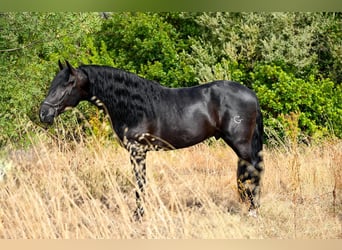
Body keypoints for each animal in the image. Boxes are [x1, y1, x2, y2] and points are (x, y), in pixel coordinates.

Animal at [40, 60, 264, 219]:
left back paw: (253, 210)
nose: (44, 113)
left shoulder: (137, 151)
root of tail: (251, 94)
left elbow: (140, 183)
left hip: (241, 144)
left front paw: (138, 216)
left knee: (255, 170)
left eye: (68, 83)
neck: (133, 106)